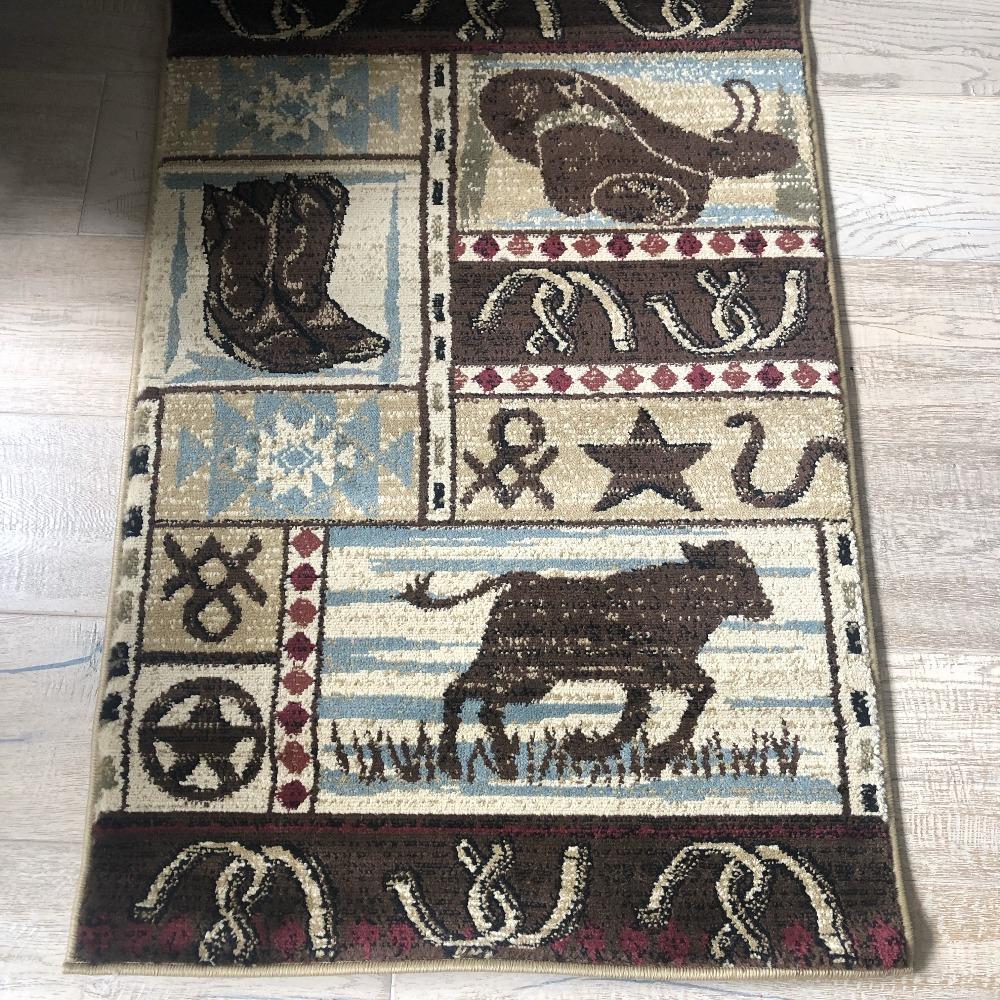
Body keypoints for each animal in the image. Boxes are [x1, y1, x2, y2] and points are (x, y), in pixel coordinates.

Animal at [398, 539, 774, 779]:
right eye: (738, 573)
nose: (766, 606)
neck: (679, 603)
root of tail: (516, 581)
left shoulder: (640, 679)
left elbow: (634, 715)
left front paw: (588, 748)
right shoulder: (667, 668)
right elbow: (702, 689)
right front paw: (657, 756)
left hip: (515, 669)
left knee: (470, 696)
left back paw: (471, 762)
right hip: (521, 667)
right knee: (475, 699)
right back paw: (484, 763)